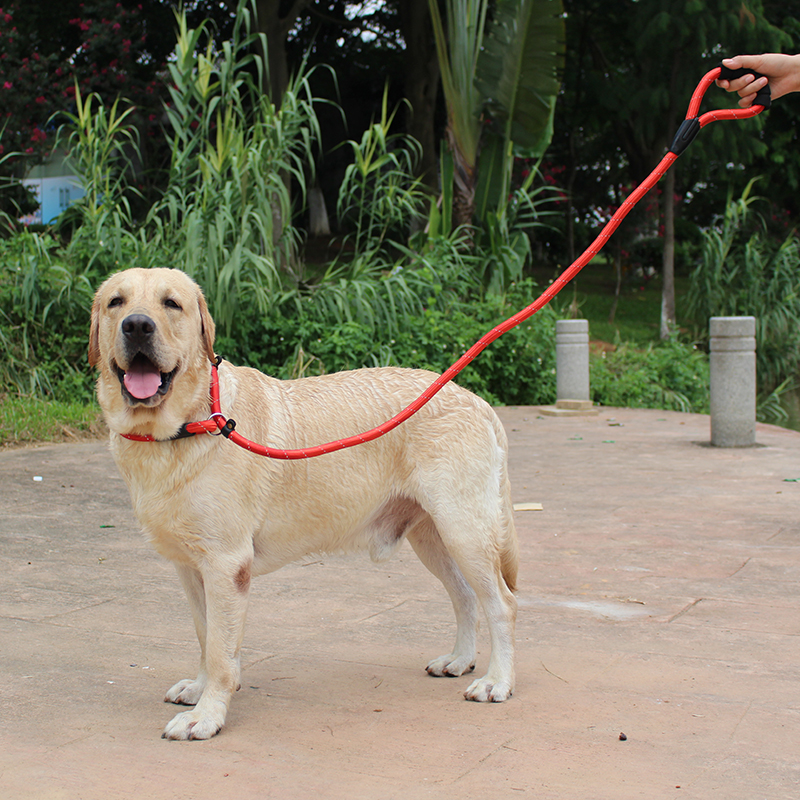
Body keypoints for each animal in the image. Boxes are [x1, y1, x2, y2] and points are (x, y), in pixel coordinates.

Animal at [90, 268, 520, 736]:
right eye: (116, 302)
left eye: (172, 304)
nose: (137, 325)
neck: (188, 422)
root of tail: (473, 398)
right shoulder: (191, 568)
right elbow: (206, 637)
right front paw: (199, 690)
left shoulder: (226, 564)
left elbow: (222, 652)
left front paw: (207, 715)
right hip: (432, 537)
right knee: (465, 596)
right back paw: (459, 660)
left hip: (464, 530)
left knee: (502, 604)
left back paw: (497, 681)